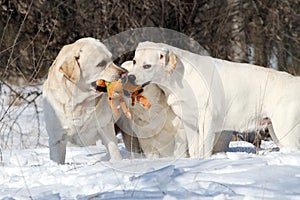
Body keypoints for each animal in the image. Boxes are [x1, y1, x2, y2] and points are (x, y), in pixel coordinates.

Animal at [126, 41, 300, 158]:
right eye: (134, 61)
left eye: (147, 66)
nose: (130, 77)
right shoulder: (190, 123)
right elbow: (195, 150)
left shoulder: (207, 119)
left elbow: (204, 149)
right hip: (276, 131)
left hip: (285, 129)